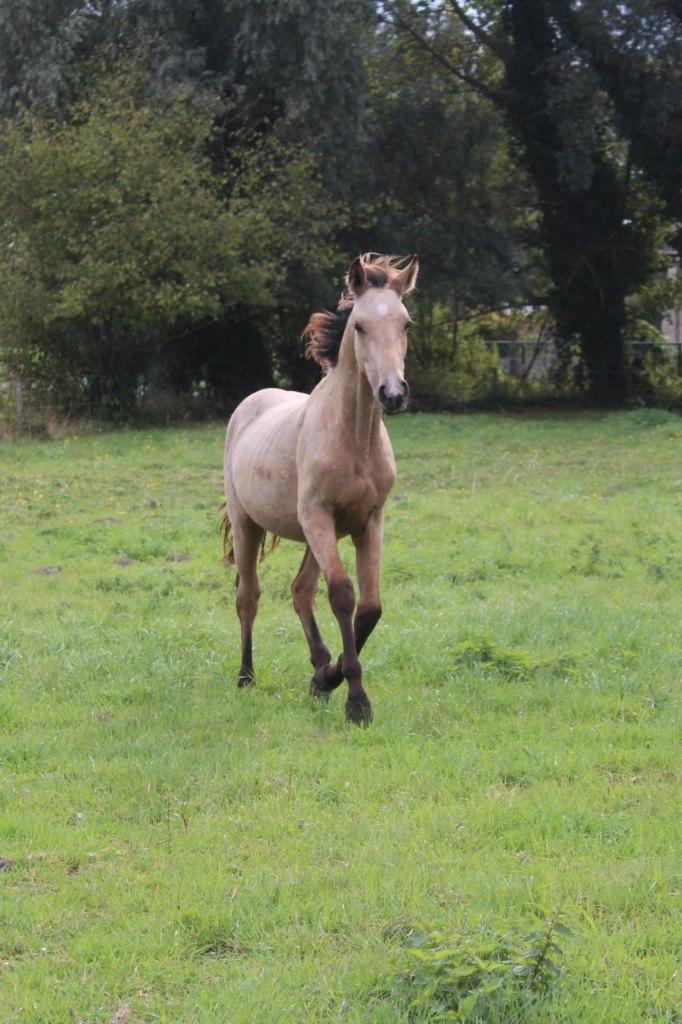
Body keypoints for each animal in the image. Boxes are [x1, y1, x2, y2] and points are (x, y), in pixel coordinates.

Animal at [222, 253, 418, 723]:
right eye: (359, 326)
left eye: (406, 324)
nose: (393, 393)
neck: (353, 437)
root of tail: (250, 403)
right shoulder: (319, 517)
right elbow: (343, 596)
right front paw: (356, 701)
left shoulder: (369, 522)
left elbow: (370, 606)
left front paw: (326, 680)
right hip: (251, 524)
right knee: (249, 596)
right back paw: (246, 676)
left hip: (313, 533)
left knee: (300, 591)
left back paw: (319, 666)